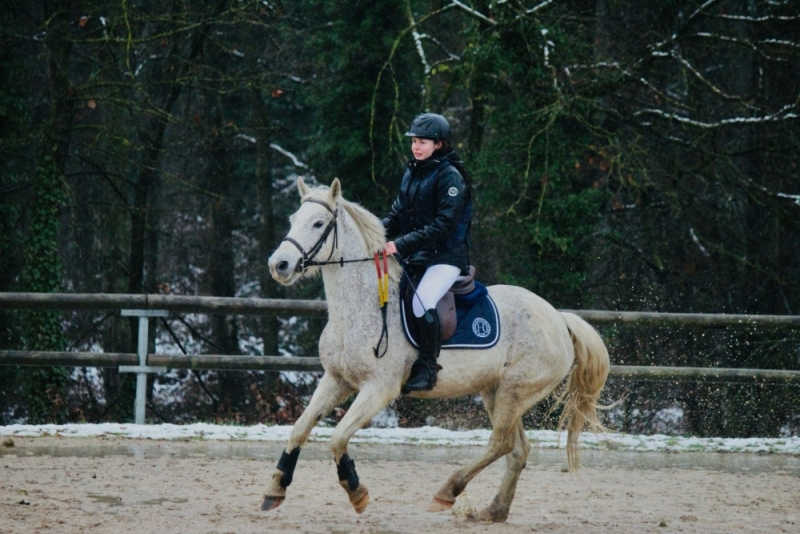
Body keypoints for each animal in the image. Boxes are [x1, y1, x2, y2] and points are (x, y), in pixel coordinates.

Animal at [262, 179, 608, 524]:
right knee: (517, 449)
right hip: (496, 391)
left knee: (501, 442)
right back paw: (493, 511)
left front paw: (356, 491)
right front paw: (275, 489)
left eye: (319, 223)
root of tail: (559, 319)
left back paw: (448, 491)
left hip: (515, 391)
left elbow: (337, 438)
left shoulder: (379, 389)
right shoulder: (337, 379)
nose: (279, 265)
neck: (359, 309)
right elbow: (299, 429)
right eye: (294, 219)